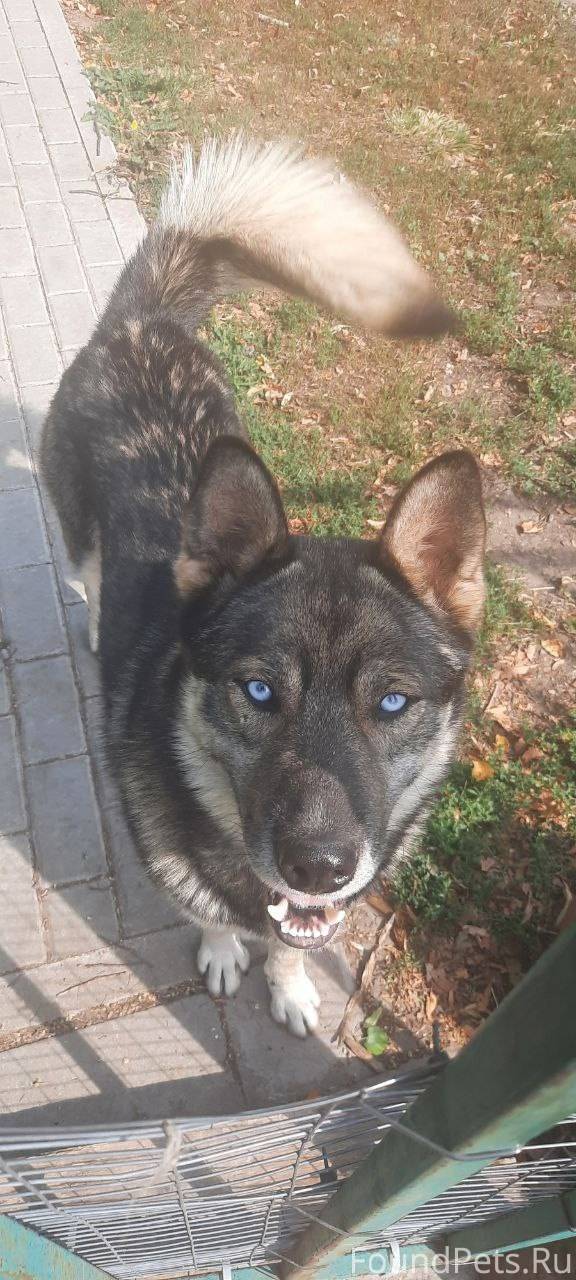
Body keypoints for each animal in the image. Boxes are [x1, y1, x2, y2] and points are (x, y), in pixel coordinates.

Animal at [40, 136, 486, 1037]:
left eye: (393, 703)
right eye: (257, 691)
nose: (319, 866)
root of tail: (141, 324)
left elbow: (290, 945)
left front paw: (289, 986)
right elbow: (209, 914)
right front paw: (223, 952)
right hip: (75, 531)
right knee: (92, 574)